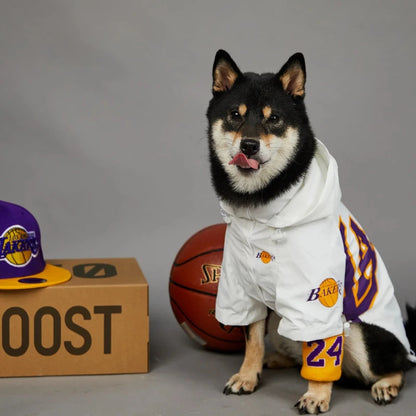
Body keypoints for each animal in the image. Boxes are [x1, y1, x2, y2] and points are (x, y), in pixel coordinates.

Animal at [206, 50, 414, 414]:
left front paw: (316, 395)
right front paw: (247, 375)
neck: (261, 210)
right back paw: (275, 360)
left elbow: (320, 350)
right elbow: (252, 339)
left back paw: (386, 385)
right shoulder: (243, 288)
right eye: (235, 115)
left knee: (393, 366)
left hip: (362, 334)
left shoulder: (319, 294)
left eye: (274, 119)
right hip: (280, 320)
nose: (249, 145)